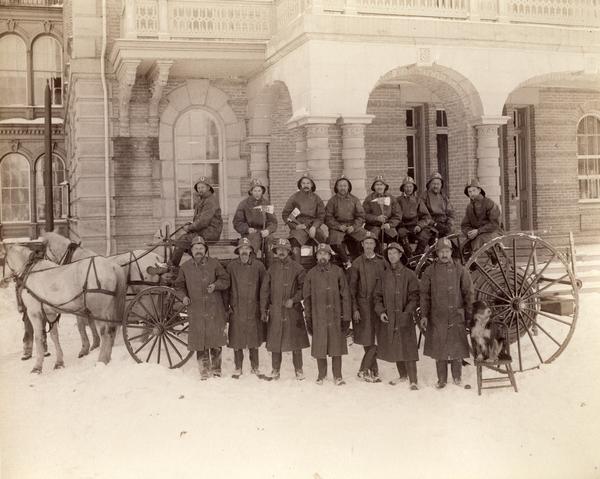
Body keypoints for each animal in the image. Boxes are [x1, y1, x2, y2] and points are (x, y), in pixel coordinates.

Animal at [3, 246, 126, 374]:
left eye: (3, 260)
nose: (3, 282)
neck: (30, 272)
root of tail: (112, 266)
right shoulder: (50, 313)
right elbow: (54, 336)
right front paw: (59, 362)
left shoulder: (34, 313)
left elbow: (38, 338)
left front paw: (37, 367)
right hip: (109, 310)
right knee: (112, 331)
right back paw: (107, 358)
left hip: (99, 312)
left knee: (105, 333)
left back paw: (101, 360)